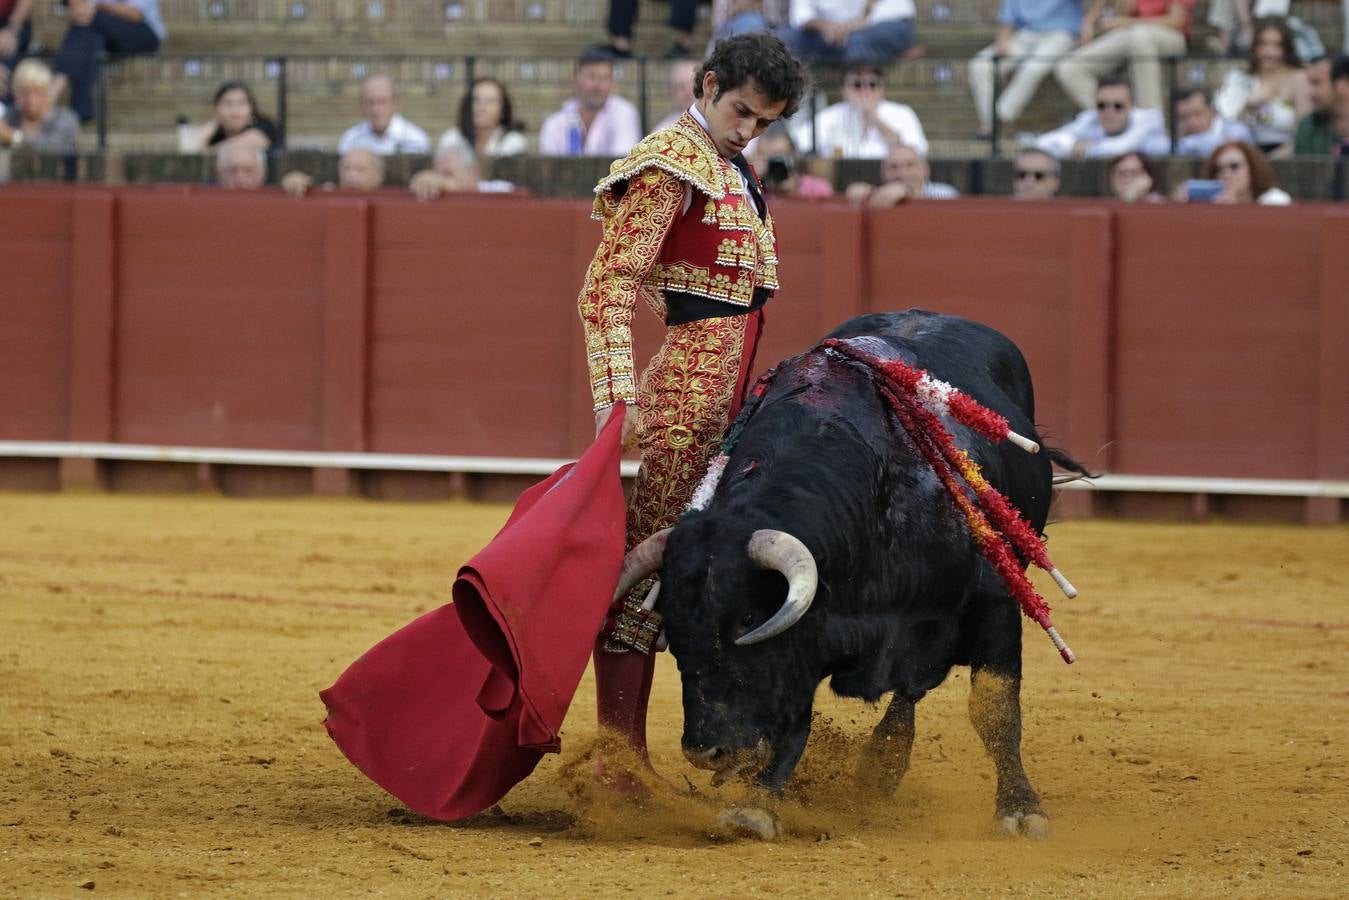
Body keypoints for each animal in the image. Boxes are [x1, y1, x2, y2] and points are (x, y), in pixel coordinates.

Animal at [628, 310, 1084, 836]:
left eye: (746, 621)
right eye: (674, 628)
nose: (706, 751)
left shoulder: (995, 607)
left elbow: (995, 708)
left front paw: (1020, 809)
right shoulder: (805, 638)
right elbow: (793, 720)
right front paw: (757, 805)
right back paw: (879, 768)